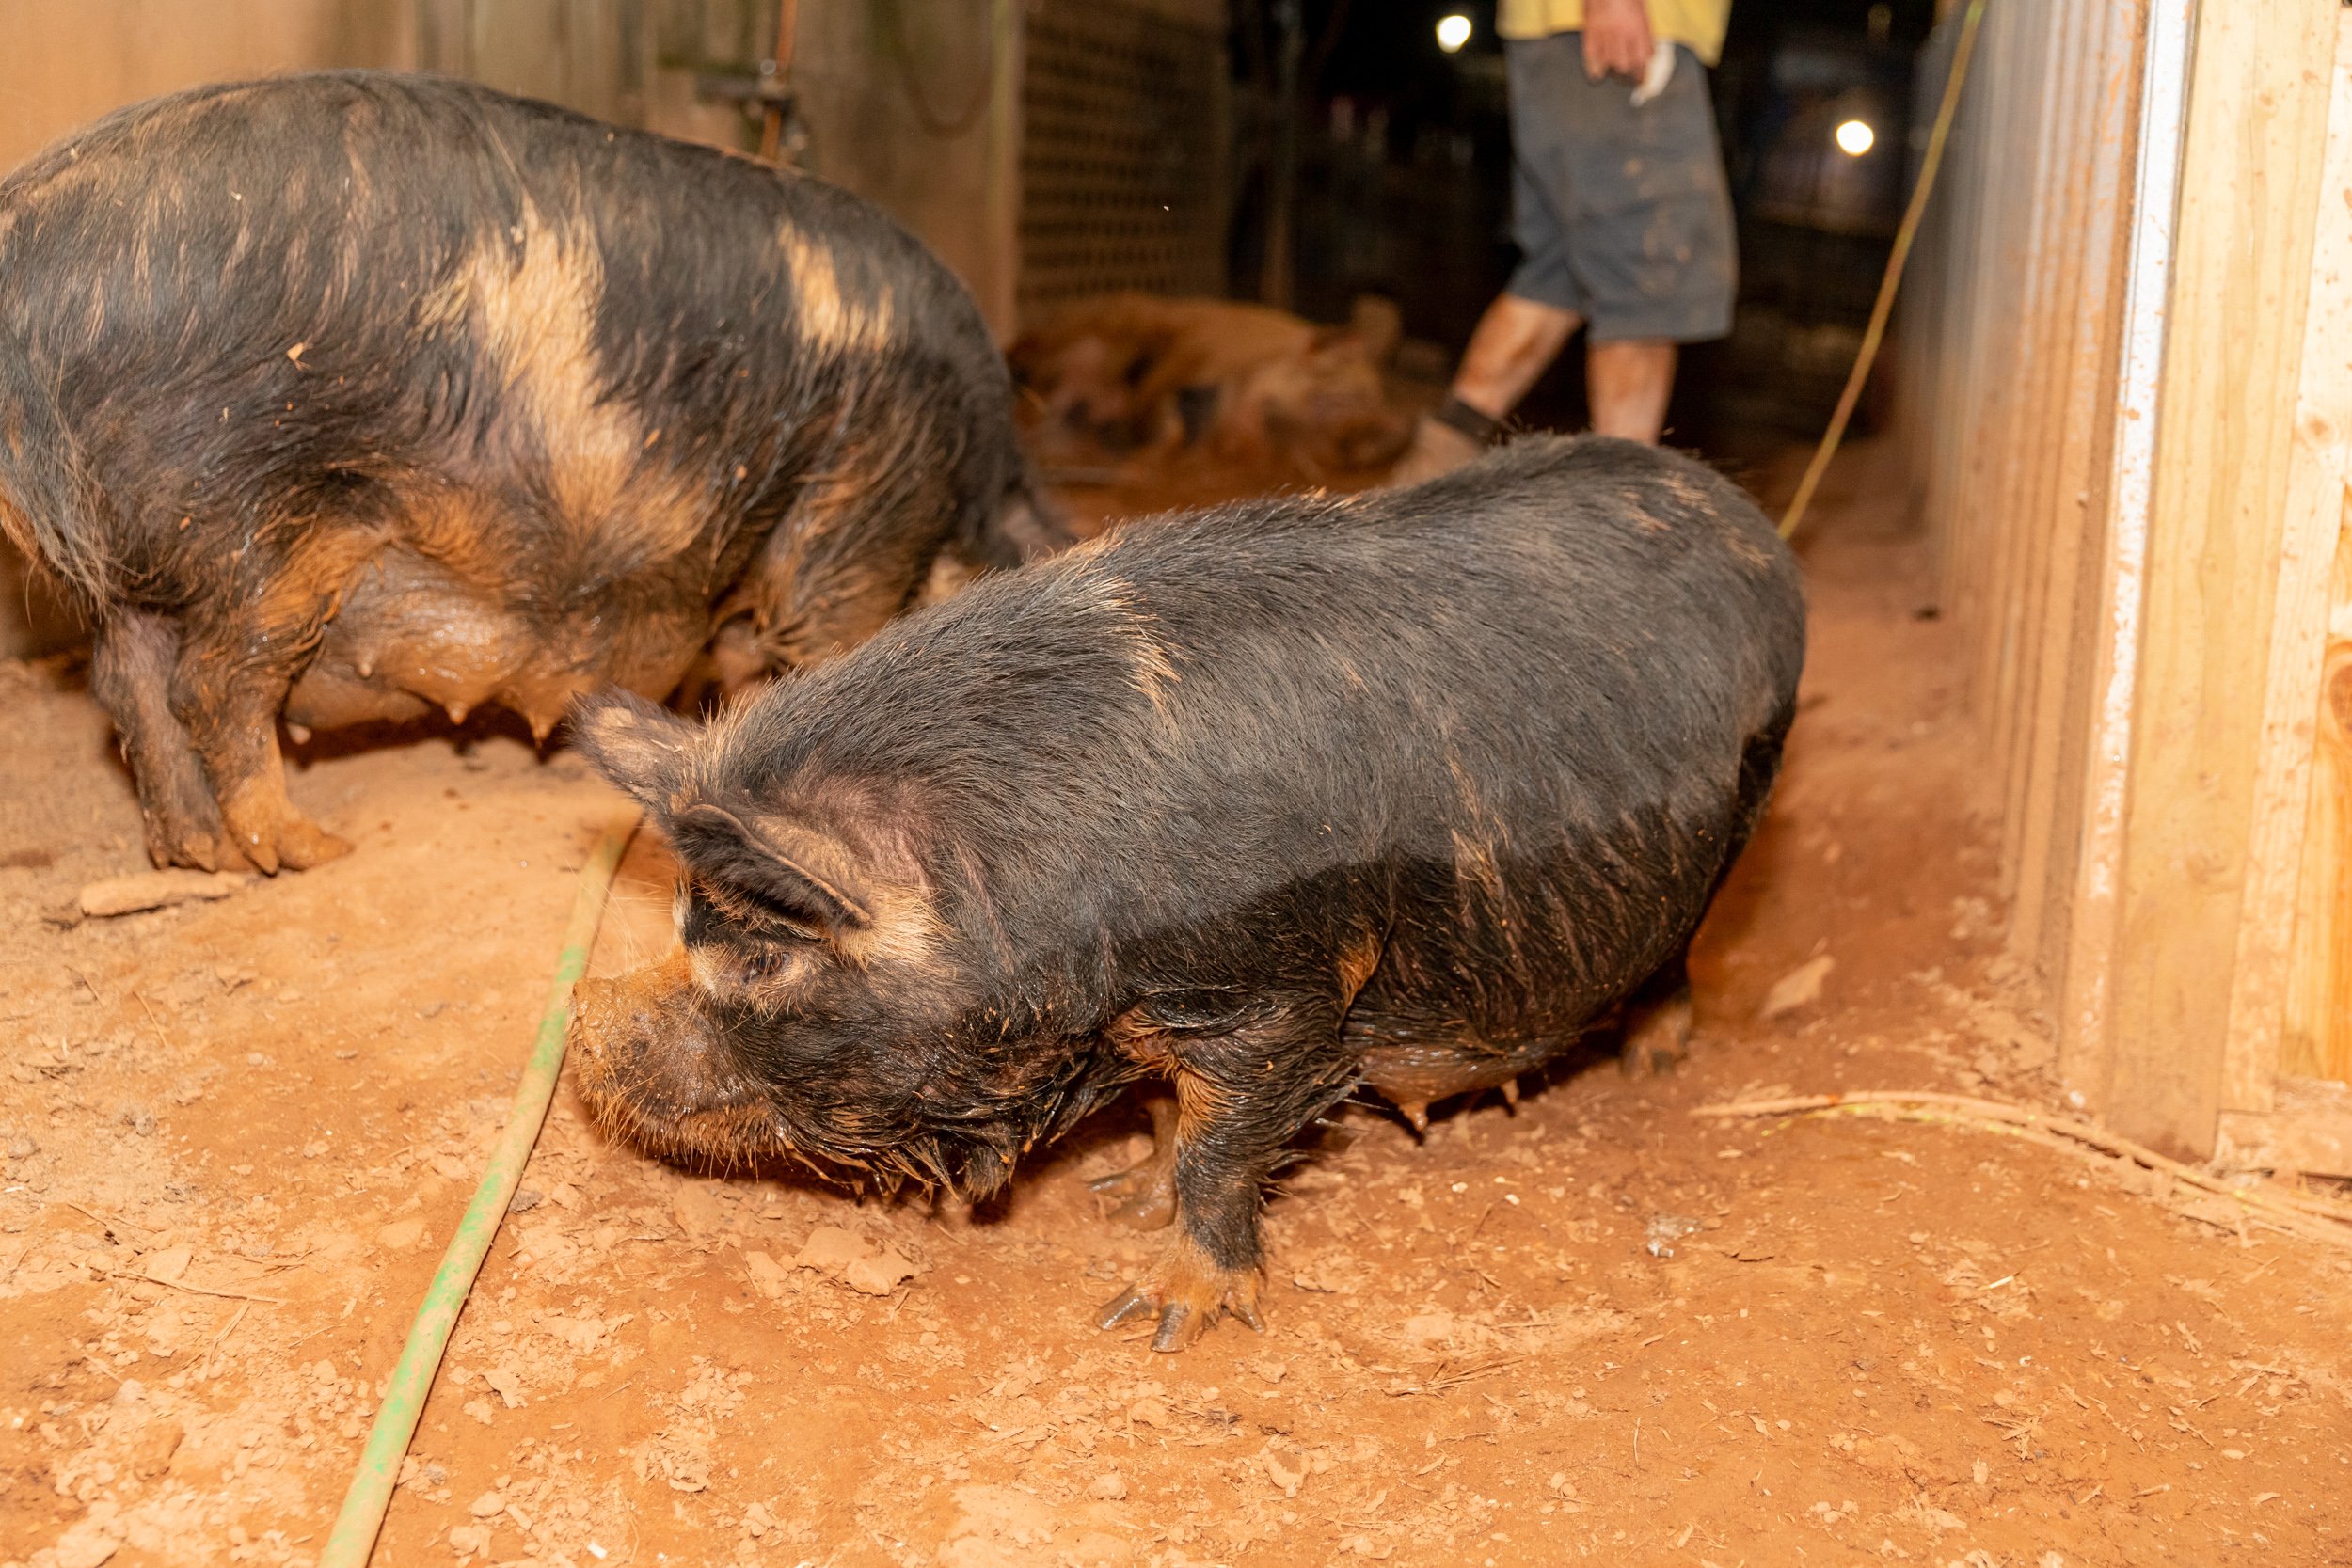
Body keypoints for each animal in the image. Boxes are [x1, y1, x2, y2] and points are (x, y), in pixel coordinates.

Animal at [0, 71, 1058, 875]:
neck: (978, 488)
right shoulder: (866, 503)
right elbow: (832, 635)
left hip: (143, 544)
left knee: (129, 678)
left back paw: (196, 855)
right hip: (256, 517)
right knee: (211, 684)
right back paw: (310, 848)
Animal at [567, 435, 1805, 1350]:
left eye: (764, 955)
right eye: (679, 918)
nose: (583, 1029)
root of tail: (1746, 521)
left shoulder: (1285, 994)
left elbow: (1223, 1145)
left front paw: (1154, 1315)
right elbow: (1173, 1109)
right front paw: (1120, 1189)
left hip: (1741, 812)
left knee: (1679, 948)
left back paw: (1658, 1058)